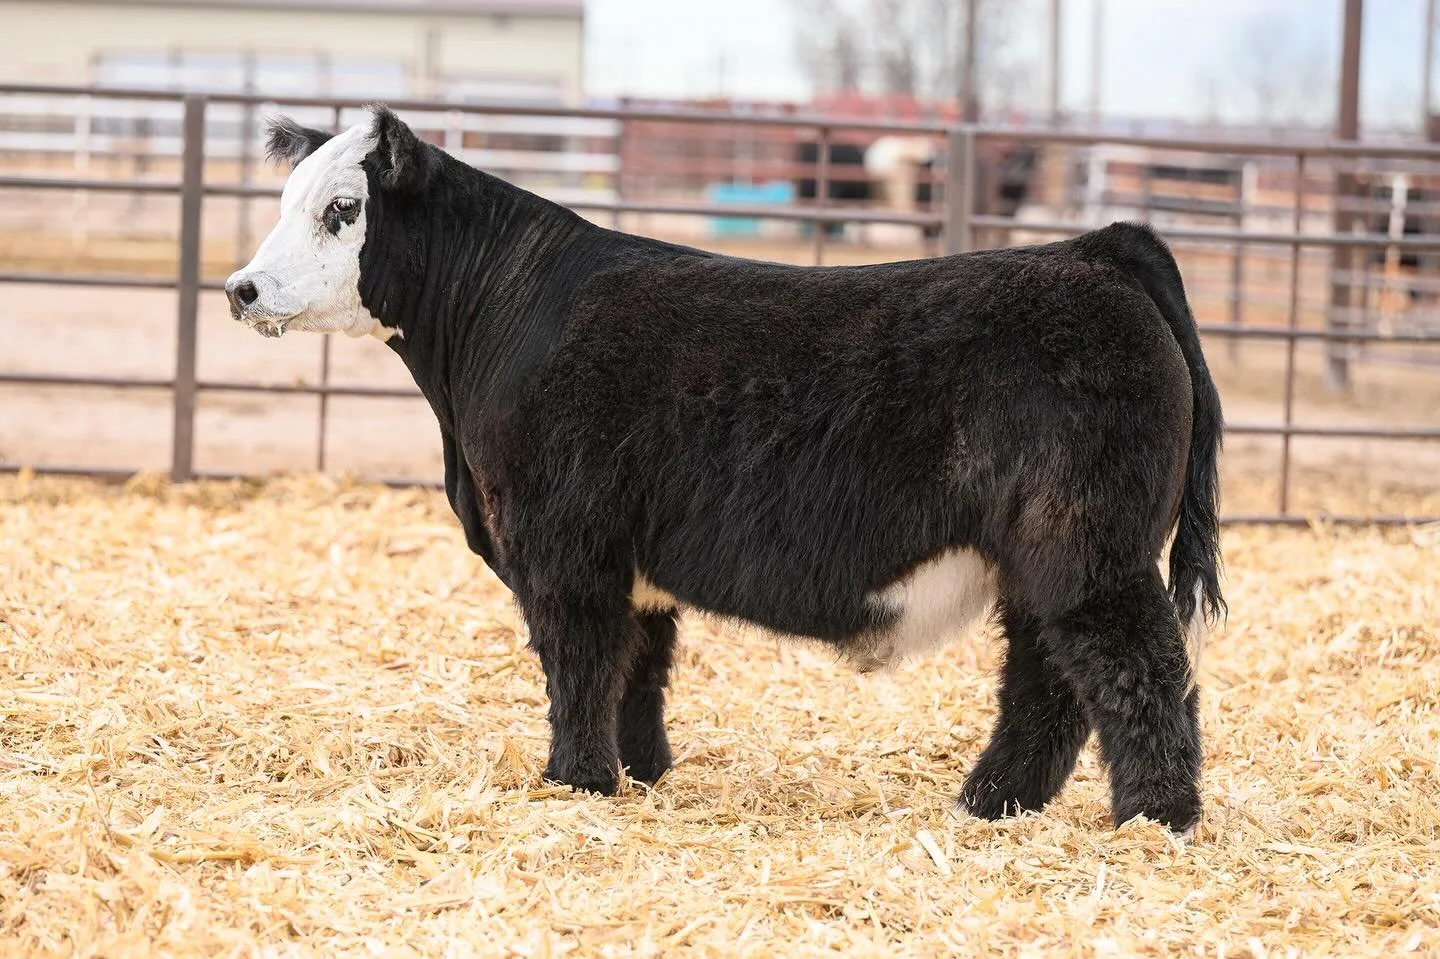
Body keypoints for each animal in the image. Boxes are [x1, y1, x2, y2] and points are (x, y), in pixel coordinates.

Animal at [225, 106, 1225, 836]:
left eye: (341, 210)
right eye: (285, 201)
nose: (241, 289)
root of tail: (1096, 251)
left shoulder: (562, 548)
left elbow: (578, 665)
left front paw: (575, 781)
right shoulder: (627, 562)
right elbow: (636, 669)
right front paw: (640, 771)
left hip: (1090, 547)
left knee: (1137, 667)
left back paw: (1155, 819)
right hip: (1040, 558)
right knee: (1046, 681)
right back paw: (992, 802)